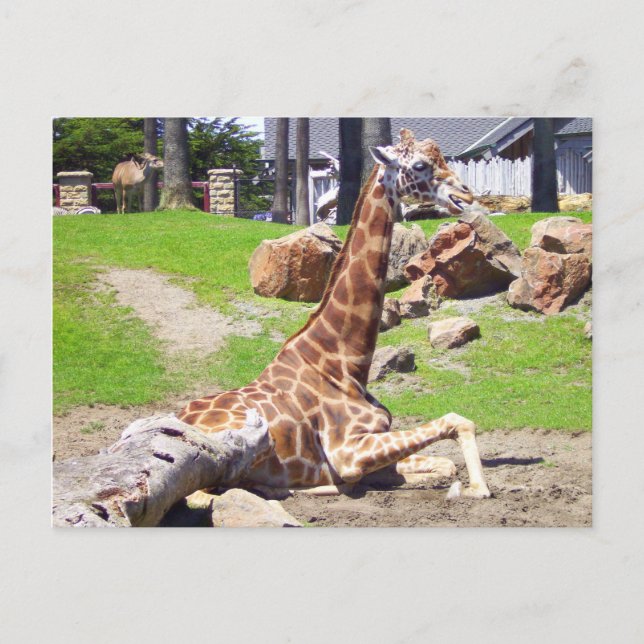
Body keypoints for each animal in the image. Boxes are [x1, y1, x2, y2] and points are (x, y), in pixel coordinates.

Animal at [178, 128, 490, 499]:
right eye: (419, 165)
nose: (465, 193)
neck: (346, 364)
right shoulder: (348, 452)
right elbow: (458, 421)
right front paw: (474, 489)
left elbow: (443, 463)